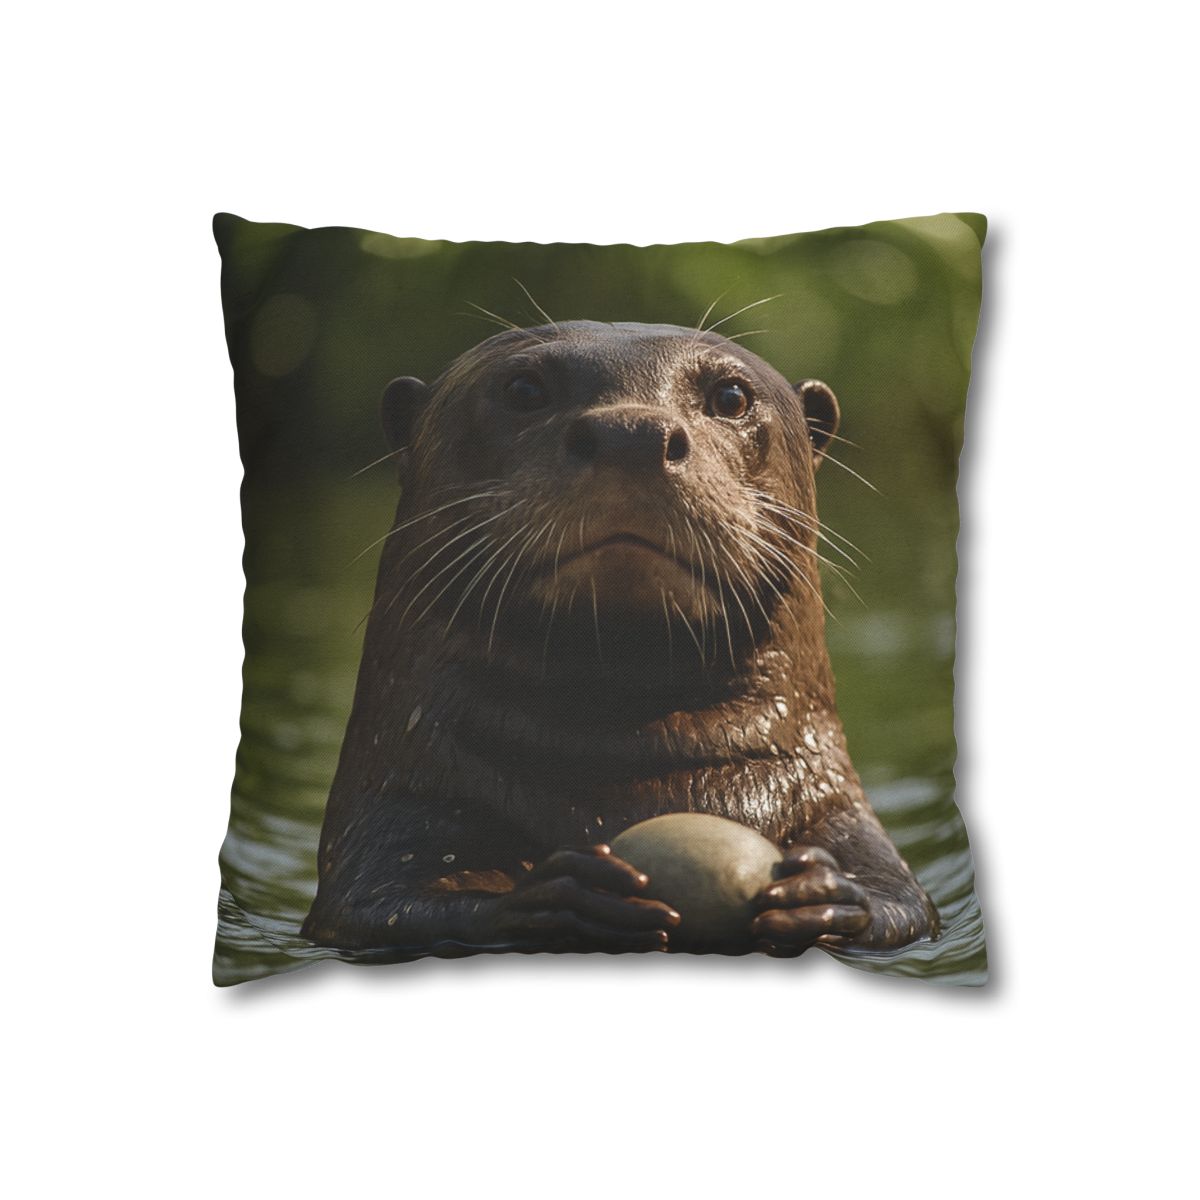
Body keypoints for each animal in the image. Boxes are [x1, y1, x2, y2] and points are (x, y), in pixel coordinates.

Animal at [302, 321, 938, 957]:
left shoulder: (839, 814)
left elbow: (901, 905)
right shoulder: (397, 815)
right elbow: (387, 905)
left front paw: (819, 894)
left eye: (731, 397)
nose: (632, 432)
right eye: (524, 389)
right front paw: (563, 894)